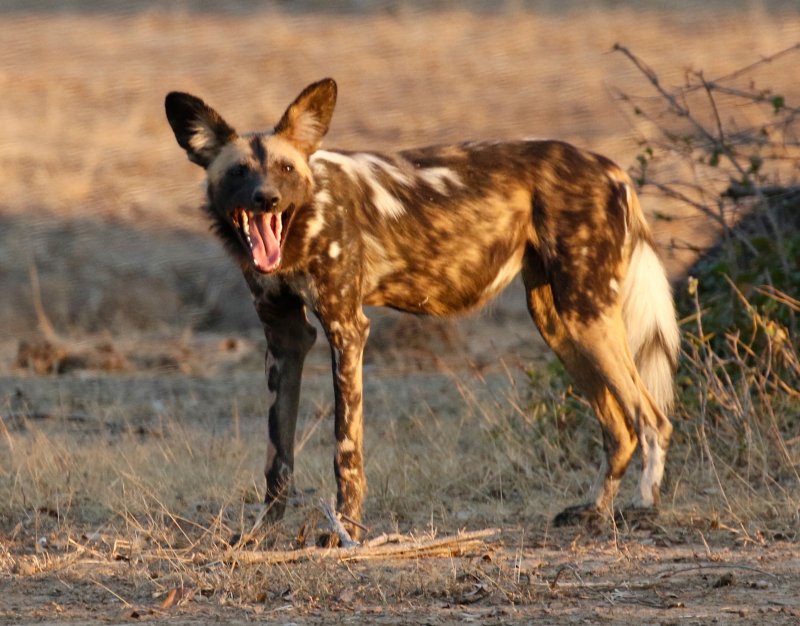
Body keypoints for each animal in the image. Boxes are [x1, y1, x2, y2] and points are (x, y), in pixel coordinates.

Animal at [166, 77, 680, 536]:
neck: (302, 223)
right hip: (559, 323)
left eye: (286, 170)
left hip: (586, 314)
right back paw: (594, 511)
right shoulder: (286, 339)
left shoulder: (346, 329)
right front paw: (262, 534)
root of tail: (611, 167)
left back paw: (643, 505)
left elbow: (345, 449)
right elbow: (278, 456)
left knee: (651, 417)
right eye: (238, 172)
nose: (267, 198)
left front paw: (344, 531)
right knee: (619, 427)